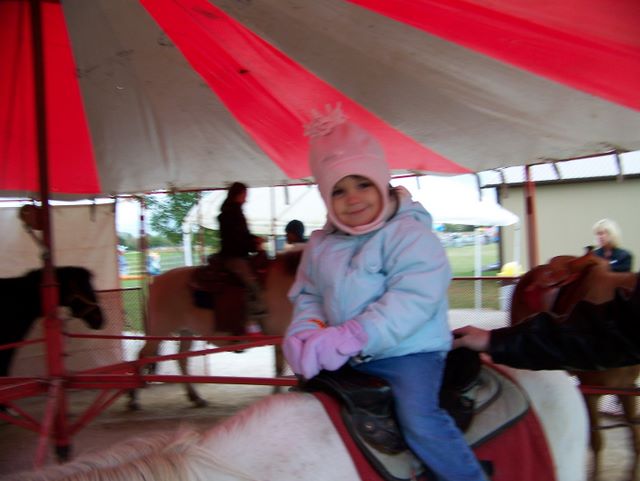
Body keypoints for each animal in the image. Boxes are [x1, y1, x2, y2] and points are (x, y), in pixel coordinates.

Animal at [128, 251, 302, 410]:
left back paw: (195, 398)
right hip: (159, 330)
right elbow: (284, 369)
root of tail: (155, 282)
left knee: (181, 359)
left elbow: (285, 368)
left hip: (186, 332)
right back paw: (133, 399)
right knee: (143, 356)